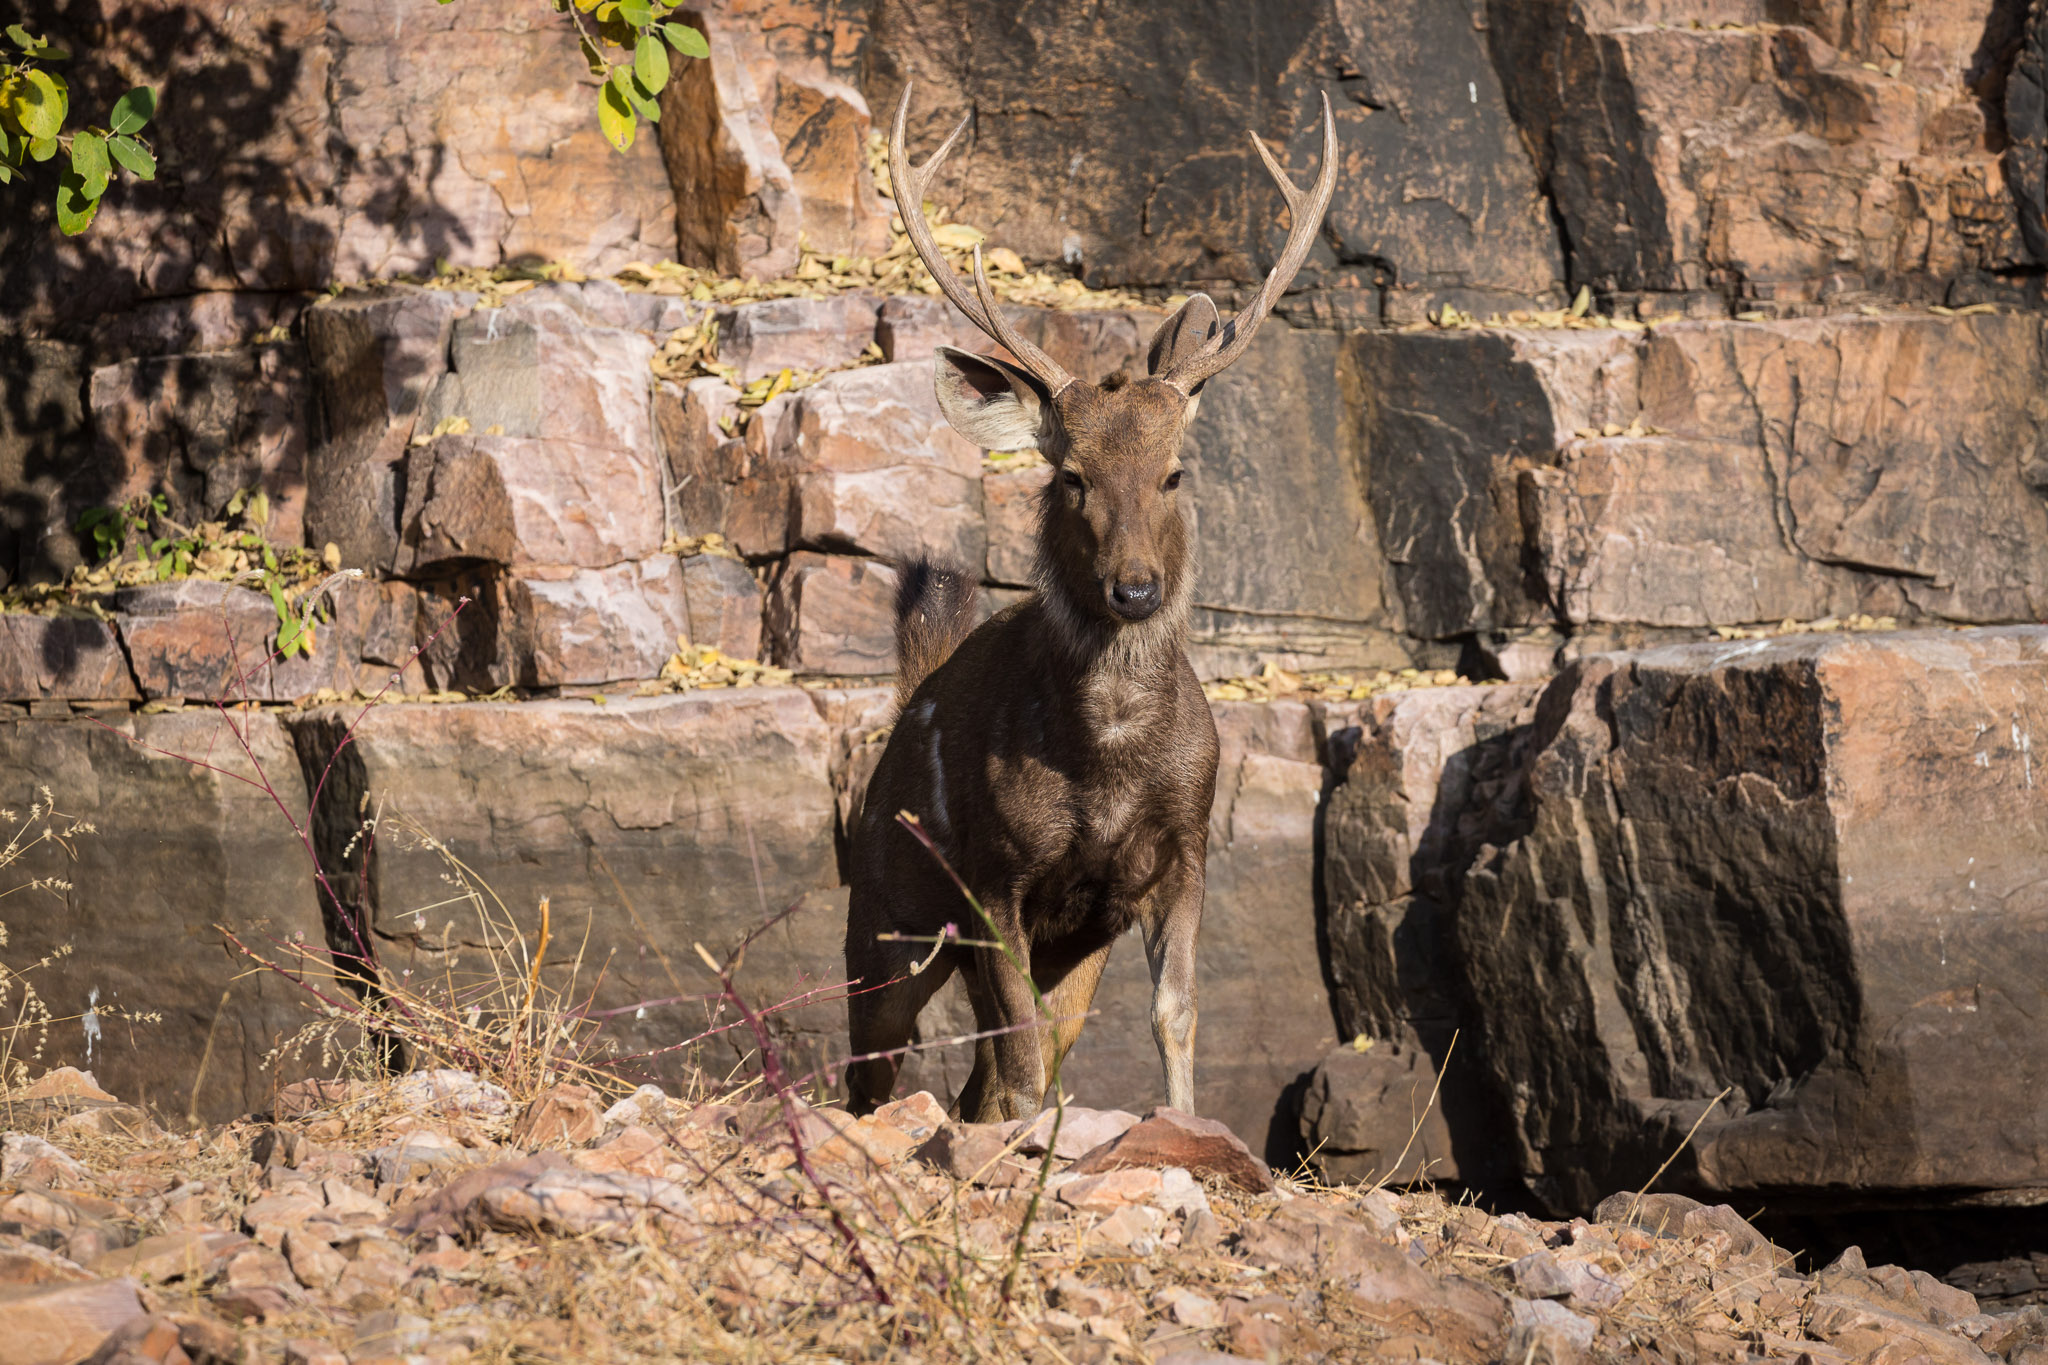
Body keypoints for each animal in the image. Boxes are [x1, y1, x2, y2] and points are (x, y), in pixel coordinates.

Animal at [839, 87, 1335, 1129]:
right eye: (1072, 475)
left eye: (1175, 471)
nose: (1134, 586)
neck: (1107, 763)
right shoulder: (993, 876)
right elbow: (1023, 1063)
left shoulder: (1179, 854)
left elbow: (1172, 1016)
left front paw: (1185, 1123)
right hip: (885, 913)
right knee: (880, 1066)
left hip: (1062, 943)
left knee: (988, 1072)